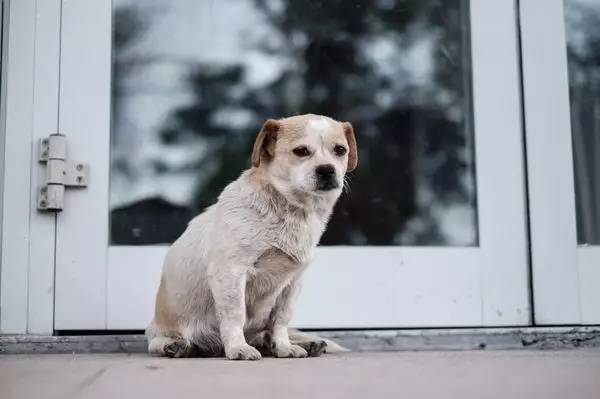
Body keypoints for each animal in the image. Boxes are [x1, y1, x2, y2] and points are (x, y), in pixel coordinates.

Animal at [146, 114, 356, 360]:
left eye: (340, 150)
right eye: (301, 151)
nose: (327, 170)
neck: (290, 212)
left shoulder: (293, 282)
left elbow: (281, 320)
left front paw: (283, 347)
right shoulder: (230, 272)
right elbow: (236, 315)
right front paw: (238, 348)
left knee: (265, 334)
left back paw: (303, 343)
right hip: (159, 329)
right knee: (157, 342)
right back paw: (176, 345)